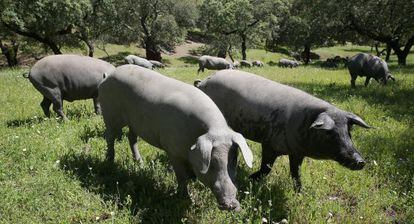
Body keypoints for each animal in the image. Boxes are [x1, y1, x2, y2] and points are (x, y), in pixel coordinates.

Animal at [99, 64, 254, 210]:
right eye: (212, 163)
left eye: (234, 160)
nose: (231, 204)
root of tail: (108, 76)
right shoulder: (172, 150)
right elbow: (181, 176)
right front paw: (186, 199)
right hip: (110, 114)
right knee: (110, 137)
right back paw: (110, 162)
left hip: (134, 123)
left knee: (131, 138)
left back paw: (140, 163)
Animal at [196, 69, 370, 191]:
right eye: (330, 133)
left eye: (348, 133)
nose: (360, 161)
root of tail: (203, 82)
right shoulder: (269, 144)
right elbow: (266, 168)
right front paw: (250, 179)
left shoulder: (297, 153)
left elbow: (295, 172)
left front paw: (300, 192)